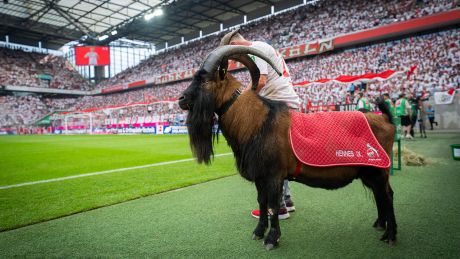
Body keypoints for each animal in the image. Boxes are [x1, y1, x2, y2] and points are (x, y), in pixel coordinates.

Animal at [178, 45, 398, 251]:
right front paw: (258, 231)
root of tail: (385, 119)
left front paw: (272, 239)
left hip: (379, 169)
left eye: (205, 81)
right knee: (378, 194)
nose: (181, 99)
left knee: (387, 195)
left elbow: (274, 206)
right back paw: (380, 224)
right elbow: (262, 201)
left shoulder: (274, 175)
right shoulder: (260, 176)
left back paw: (390, 235)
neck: (258, 121)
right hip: (368, 171)